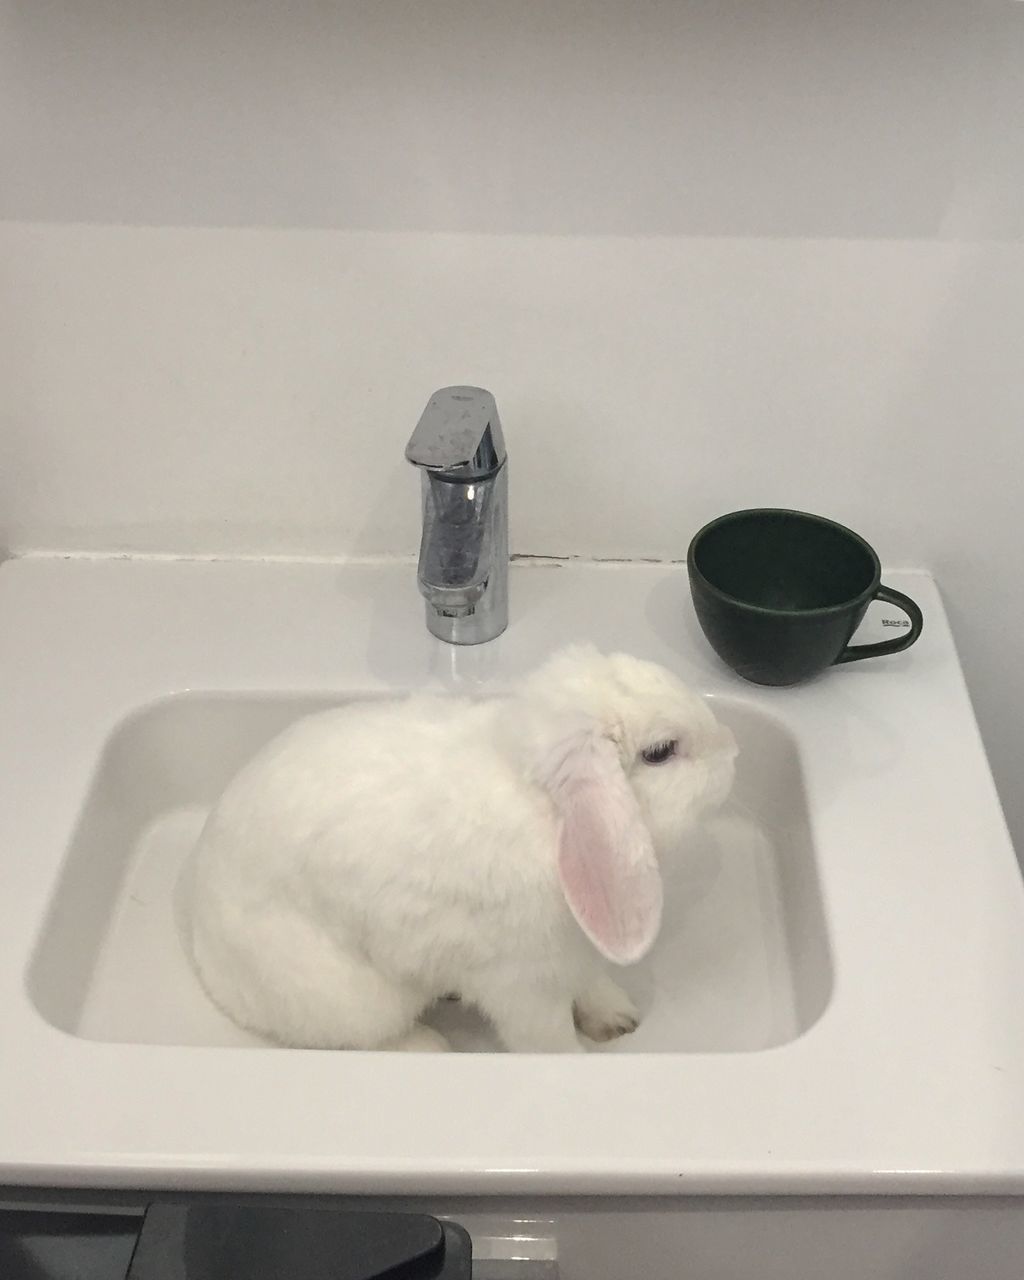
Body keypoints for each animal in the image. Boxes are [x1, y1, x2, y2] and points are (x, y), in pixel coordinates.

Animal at [184, 645, 742, 1054]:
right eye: (660, 753)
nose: (735, 749)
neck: (548, 814)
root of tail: (205, 956)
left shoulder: (577, 955)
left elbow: (590, 987)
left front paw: (617, 1019)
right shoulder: (522, 987)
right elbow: (547, 1040)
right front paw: (574, 1059)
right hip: (354, 1000)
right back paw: (429, 1047)